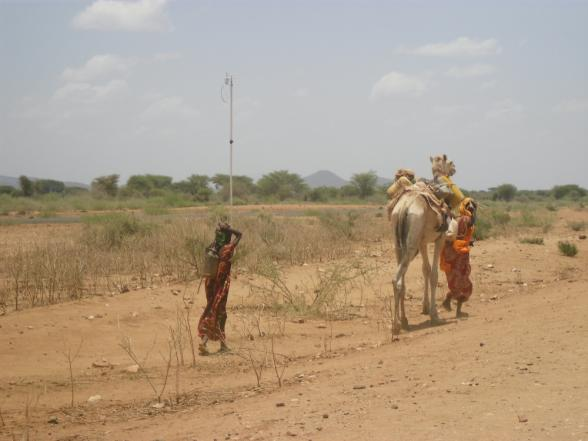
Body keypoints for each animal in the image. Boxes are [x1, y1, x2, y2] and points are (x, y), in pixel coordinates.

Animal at [392, 155, 458, 334]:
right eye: (450, 163)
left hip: (399, 243)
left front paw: (425, 307)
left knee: (402, 280)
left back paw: (404, 321)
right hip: (411, 244)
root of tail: (404, 208)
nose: (454, 169)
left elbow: (426, 270)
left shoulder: (422, 242)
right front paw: (434, 315)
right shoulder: (439, 239)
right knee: (396, 280)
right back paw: (395, 326)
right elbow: (434, 274)